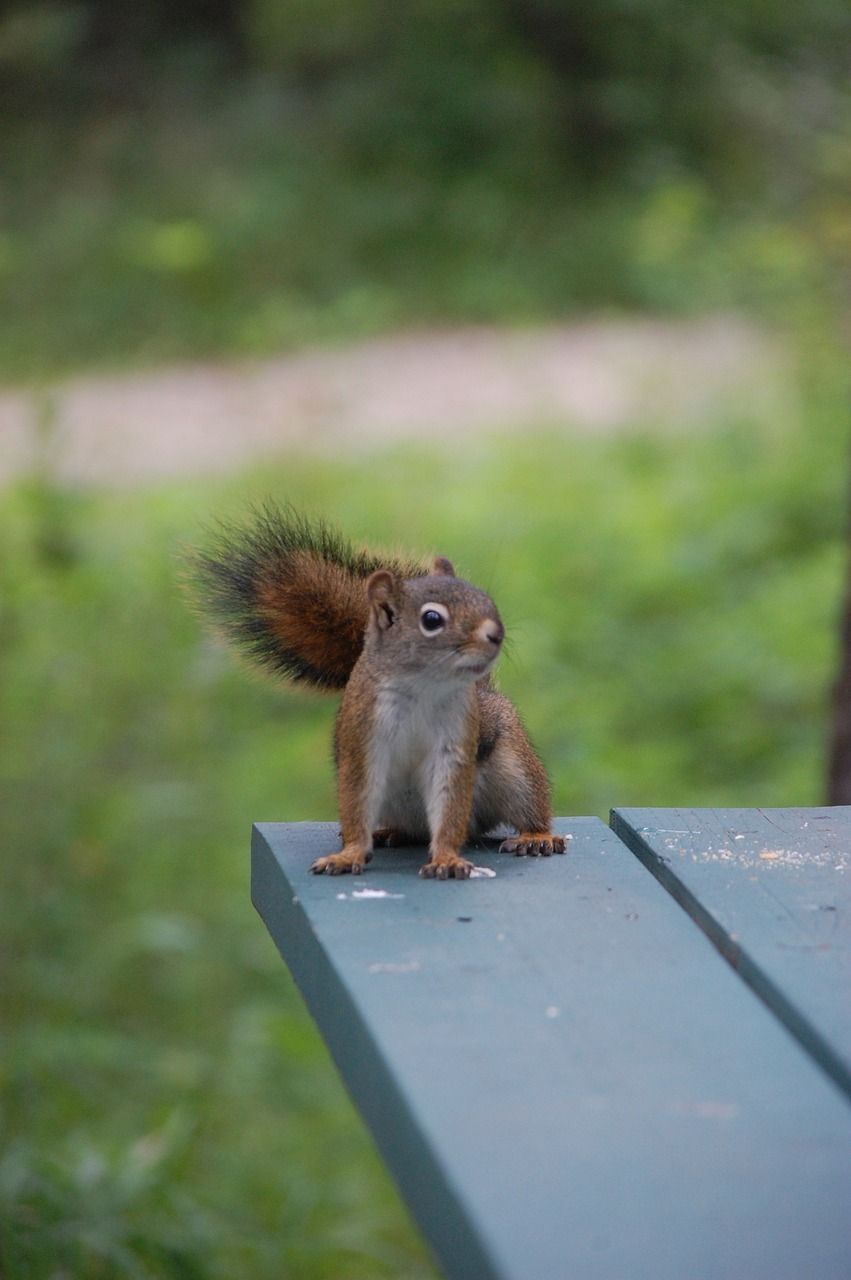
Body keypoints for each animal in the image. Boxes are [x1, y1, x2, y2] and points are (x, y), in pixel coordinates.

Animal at [191, 505, 566, 879]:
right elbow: (356, 803)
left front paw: (446, 858)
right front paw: (348, 854)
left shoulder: (456, 743)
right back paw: (389, 832)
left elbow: (450, 805)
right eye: (432, 619)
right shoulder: (362, 741)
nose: (496, 634)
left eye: (486, 599)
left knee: (527, 807)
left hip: (515, 770)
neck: (423, 688)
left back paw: (536, 837)